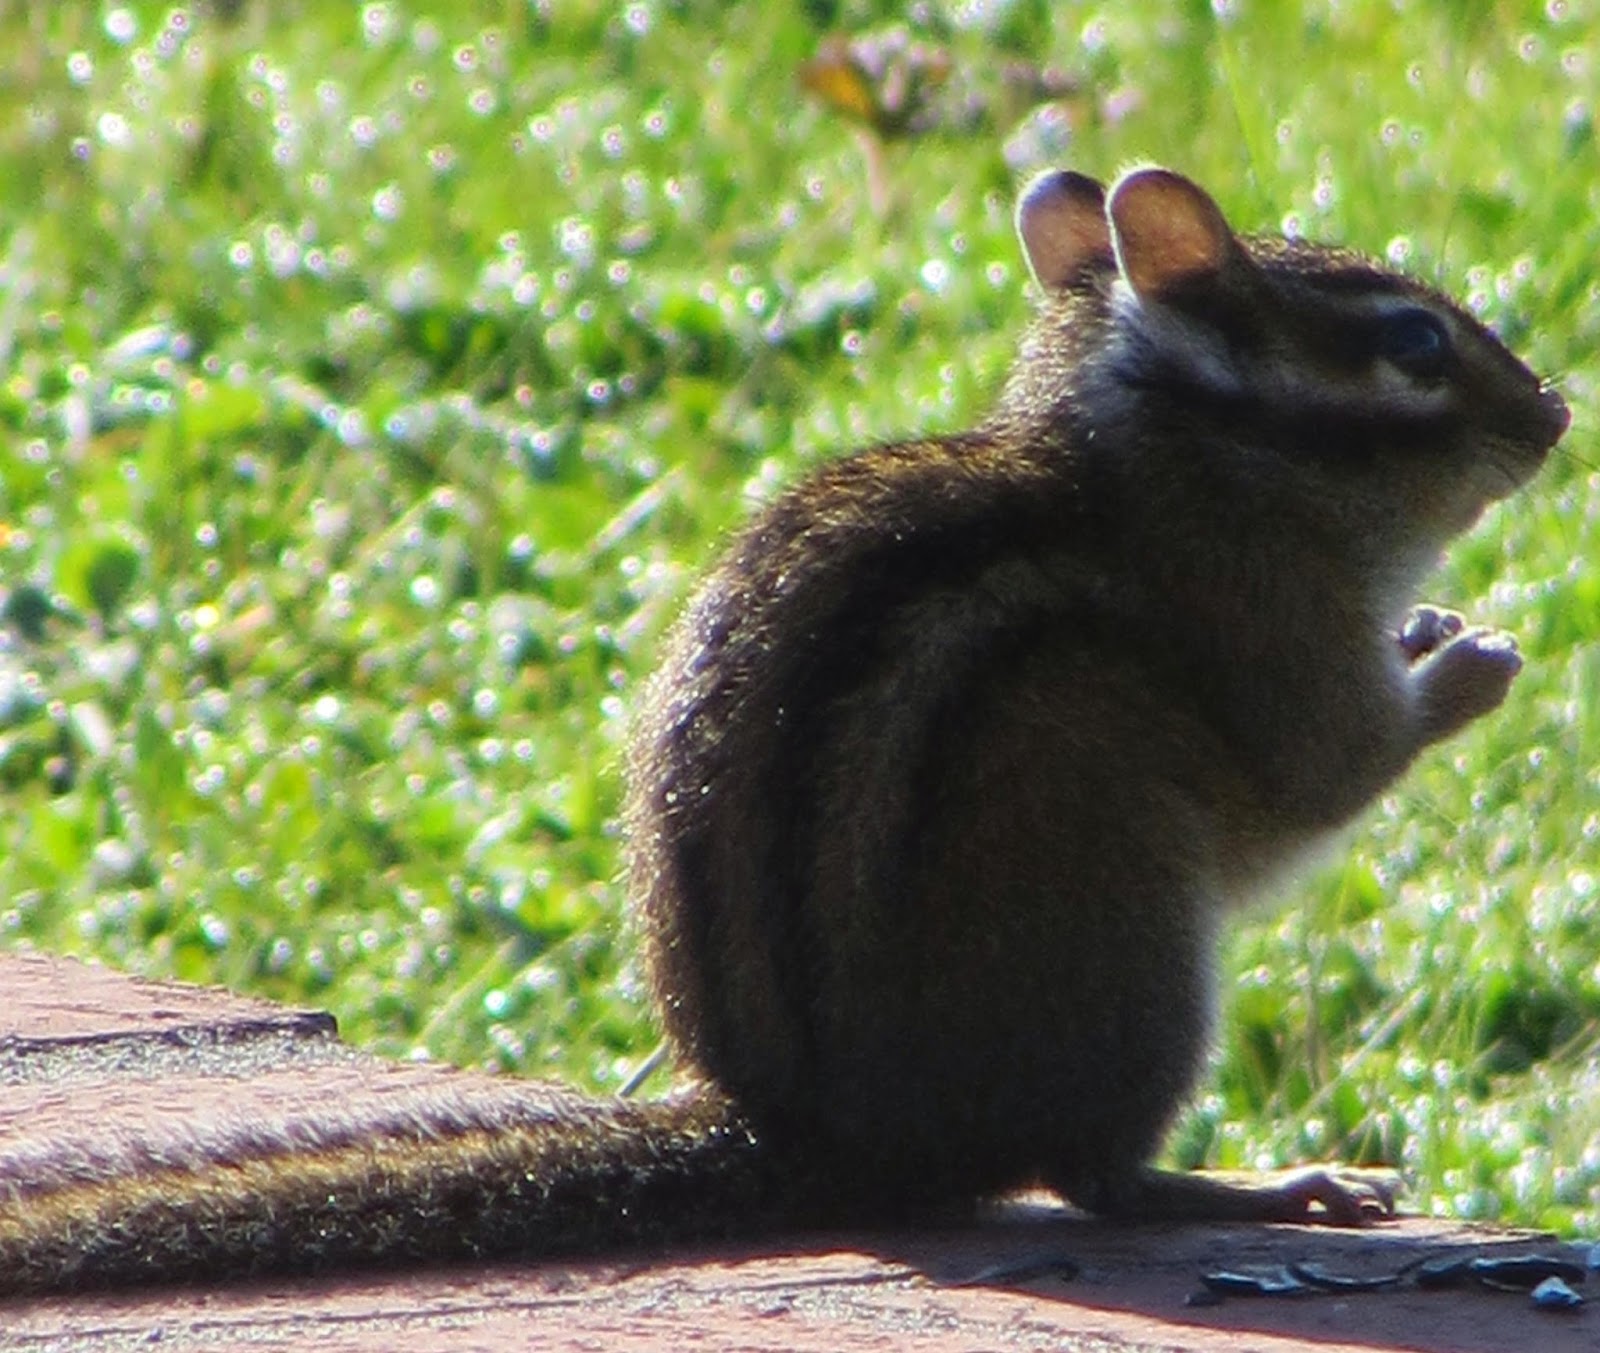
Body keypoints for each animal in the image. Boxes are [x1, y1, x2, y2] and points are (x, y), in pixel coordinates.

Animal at [0, 166, 1569, 1295]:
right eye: (1415, 344)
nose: (1555, 414)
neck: (1180, 456)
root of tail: (821, 1137)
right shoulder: (1265, 631)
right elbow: (1325, 776)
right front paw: (1468, 661)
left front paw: (1440, 631)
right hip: (1131, 957)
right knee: (1097, 1178)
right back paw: (1274, 1184)